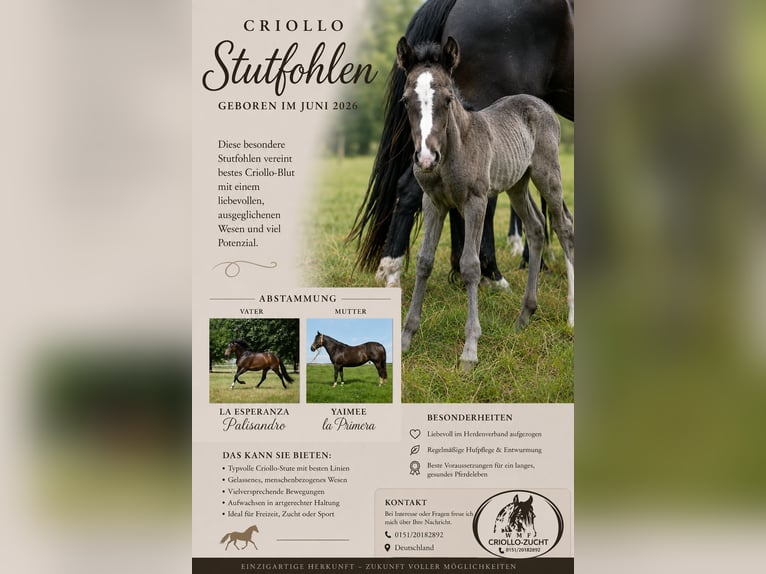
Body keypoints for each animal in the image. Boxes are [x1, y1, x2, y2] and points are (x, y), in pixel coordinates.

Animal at [397, 37, 574, 371]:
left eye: (448, 99)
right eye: (405, 100)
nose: (426, 158)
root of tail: (543, 105)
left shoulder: (475, 202)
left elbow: (470, 265)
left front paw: (470, 350)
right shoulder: (433, 203)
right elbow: (424, 261)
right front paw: (405, 338)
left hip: (547, 174)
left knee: (563, 228)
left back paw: (571, 316)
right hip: (517, 184)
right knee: (536, 228)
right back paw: (524, 316)